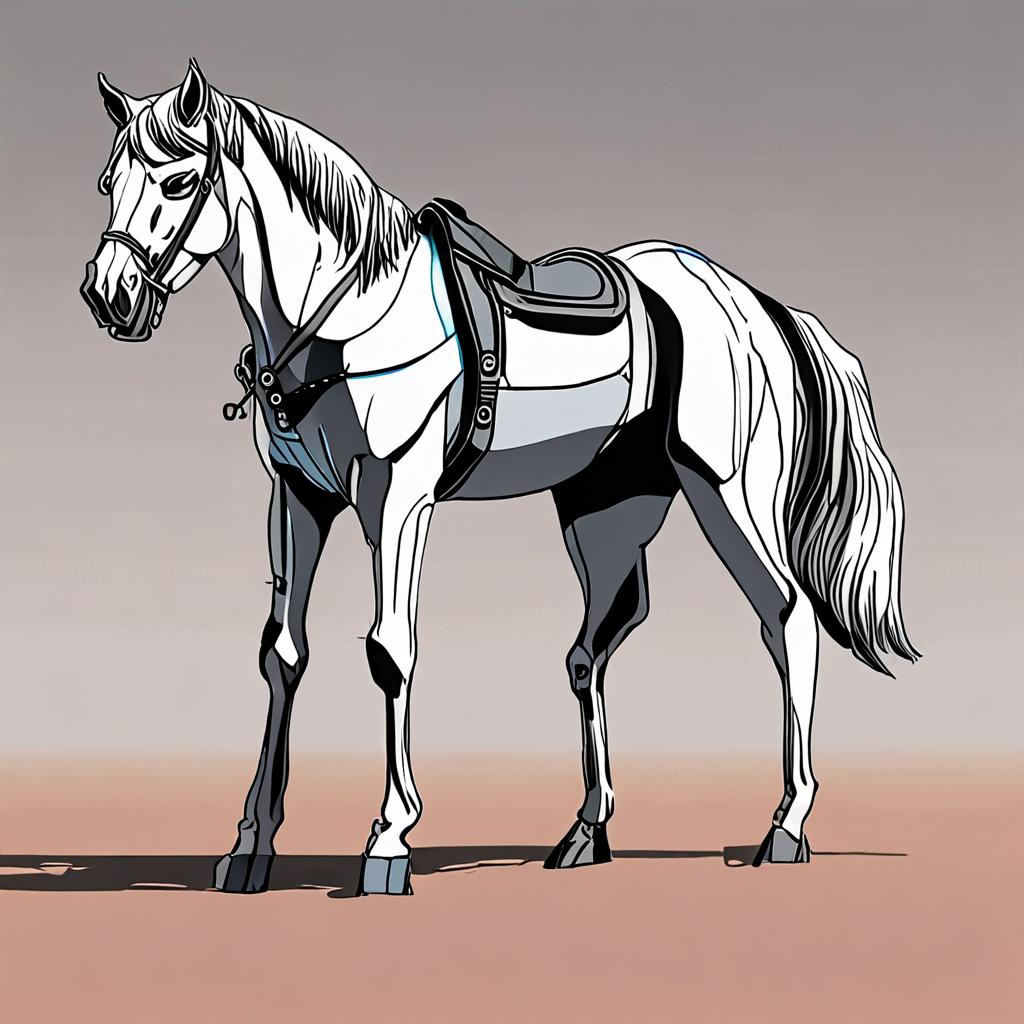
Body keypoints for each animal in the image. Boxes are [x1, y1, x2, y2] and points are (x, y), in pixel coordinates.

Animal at [80, 61, 919, 896]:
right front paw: (252, 842)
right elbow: (282, 656)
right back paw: (587, 830)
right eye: (107, 182)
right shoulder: (298, 498)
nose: (107, 295)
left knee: (787, 617)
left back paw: (787, 824)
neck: (349, 316)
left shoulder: (398, 494)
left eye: (180, 181)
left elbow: (390, 650)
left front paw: (390, 840)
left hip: (730, 495)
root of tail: (755, 305)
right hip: (608, 509)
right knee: (596, 646)